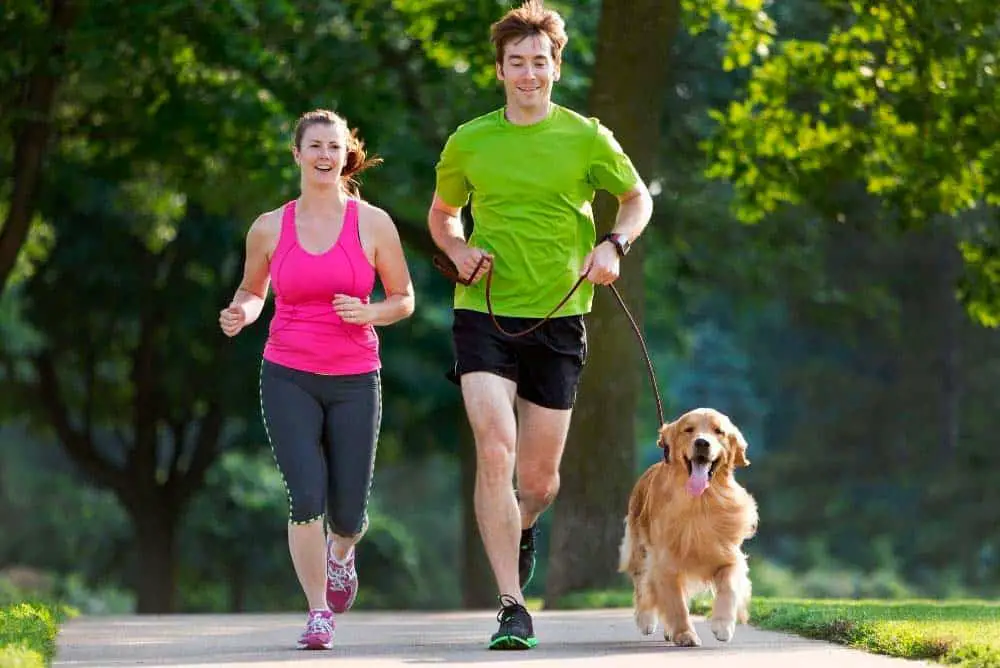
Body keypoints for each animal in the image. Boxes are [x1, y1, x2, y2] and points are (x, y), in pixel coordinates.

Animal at [616, 408, 756, 648]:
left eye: (719, 431)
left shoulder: (727, 554)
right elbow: (676, 604)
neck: (699, 503)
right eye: (688, 429)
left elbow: (729, 587)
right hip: (638, 547)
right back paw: (646, 620)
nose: (702, 443)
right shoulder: (665, 562)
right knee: (642, 584)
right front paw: (685, 634)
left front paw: (723, 625)